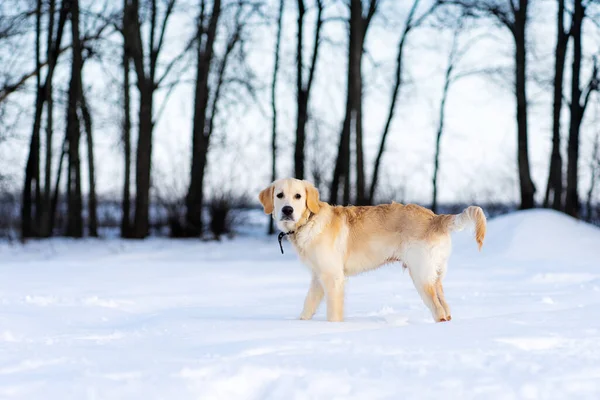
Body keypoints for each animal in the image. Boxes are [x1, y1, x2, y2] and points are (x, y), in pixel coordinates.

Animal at [258, 180, 488, 324]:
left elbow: (333, 312)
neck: (309, 221)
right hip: (435, 276)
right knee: (446, 309)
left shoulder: (333, 277)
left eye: (298, 196)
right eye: (279, 195)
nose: (287, 210)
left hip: (421, 276)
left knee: (438, 310)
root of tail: (435, 217)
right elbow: (308, 306)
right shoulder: (317, 277)